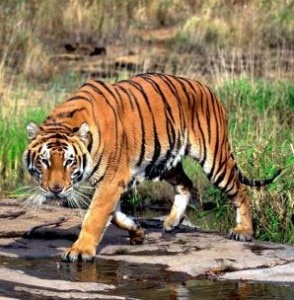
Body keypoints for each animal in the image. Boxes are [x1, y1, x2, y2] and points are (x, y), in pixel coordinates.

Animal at [23, 72, 280, 260]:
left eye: (69, 161)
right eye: (44, 161)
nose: (55, 190)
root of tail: (209, 90)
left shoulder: (112, 179)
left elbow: (95, 216)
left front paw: (80, 251)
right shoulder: (115, 180)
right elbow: (114, 215)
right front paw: (137, 232)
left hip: (215, 159)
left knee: (240, 190)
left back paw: (244, 232)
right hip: (166, 161)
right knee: (186, 184)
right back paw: (172, 222)